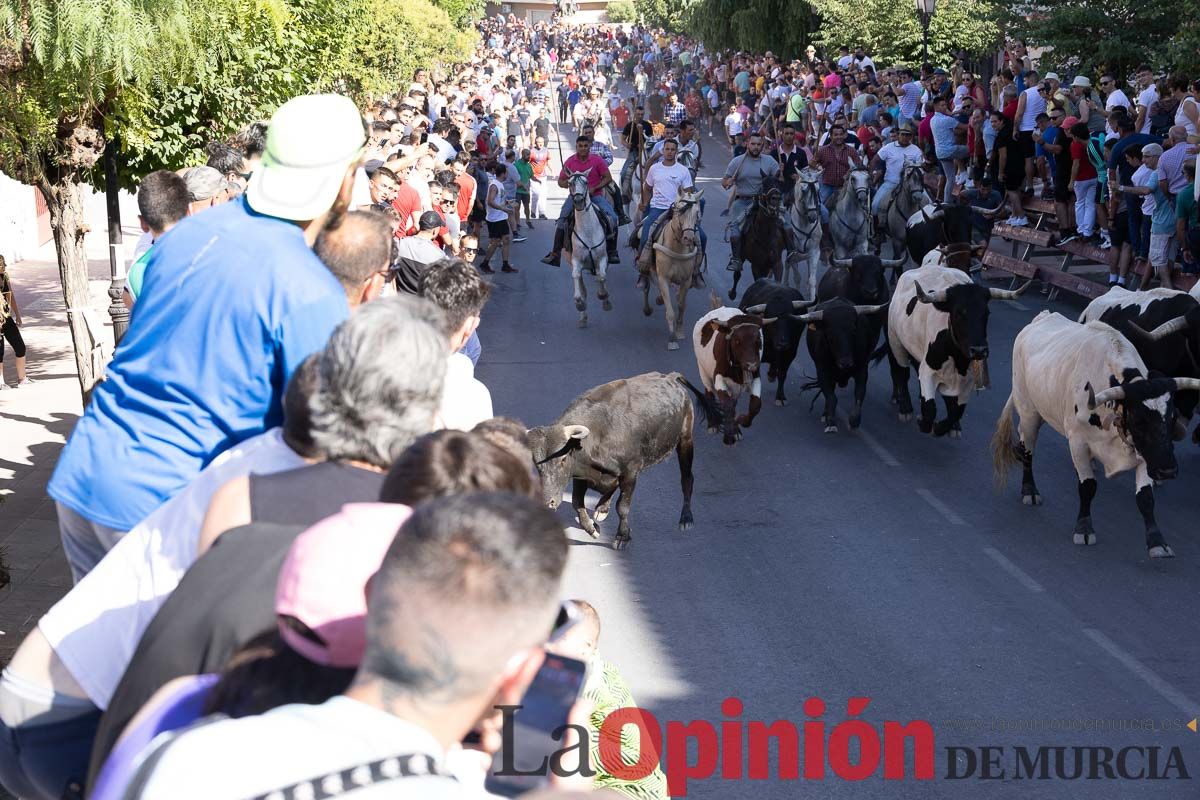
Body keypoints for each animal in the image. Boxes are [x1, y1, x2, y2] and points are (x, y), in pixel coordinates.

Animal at [564, 170, 609, 331]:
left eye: (586, 182)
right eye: (570, 183)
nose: (578, 201)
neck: (588, 230)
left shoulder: (602, 258)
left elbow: (601, 276)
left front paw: (604, 297)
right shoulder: (576, 262)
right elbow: (578, 289)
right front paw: (580, 304)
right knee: (582, 287)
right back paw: (583, 317)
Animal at [696, 296, 768, 443]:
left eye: (758, 340)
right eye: (737, 340)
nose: (751, 365)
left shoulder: (756, 376)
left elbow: (755, 404)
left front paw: (741, 421)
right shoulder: (718, 377)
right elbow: (727, 404)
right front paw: (729, 435)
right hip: (703, 371)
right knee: (709, 393)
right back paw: (713, 424)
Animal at [883, 266, 1032, 434]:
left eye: (986, 313)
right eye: (958, 313)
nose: (979, 350)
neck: (956, 357)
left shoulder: (967, 382)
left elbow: (956, 411)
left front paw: (945, 426)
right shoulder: (928, 371)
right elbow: (929, 409)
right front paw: (923, 421)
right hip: (895, 342)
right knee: (901, 373)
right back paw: (905, 408)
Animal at [988, 309, 1200, 561]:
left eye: (1171, 418)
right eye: (1139, 421)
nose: (1167, 470)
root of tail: (1042, 317)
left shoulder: (1143, 452)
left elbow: (1146, 497)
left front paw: (1157, 542)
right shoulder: (1078, 442)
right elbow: (1087, 486)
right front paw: (1084, 528)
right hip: (1029, 411)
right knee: (1027, 450)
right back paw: (1029, 490)